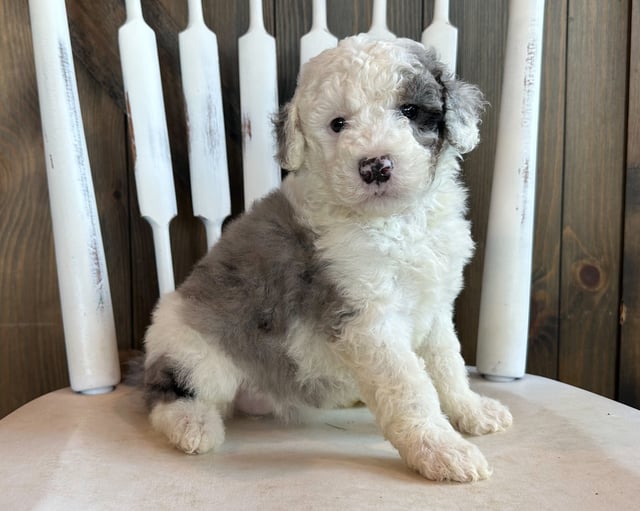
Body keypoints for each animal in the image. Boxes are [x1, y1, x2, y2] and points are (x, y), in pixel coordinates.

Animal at [142, 36, 512, 484]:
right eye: (338, 124)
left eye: (409, 110)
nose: (375, 166)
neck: (397, 222)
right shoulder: (366, 319)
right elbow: (411, 388)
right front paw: (440, 449)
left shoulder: (435, 307)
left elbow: (447, 364)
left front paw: (471, 411)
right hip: (197, 351)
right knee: (168, 392)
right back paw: (192, 425)